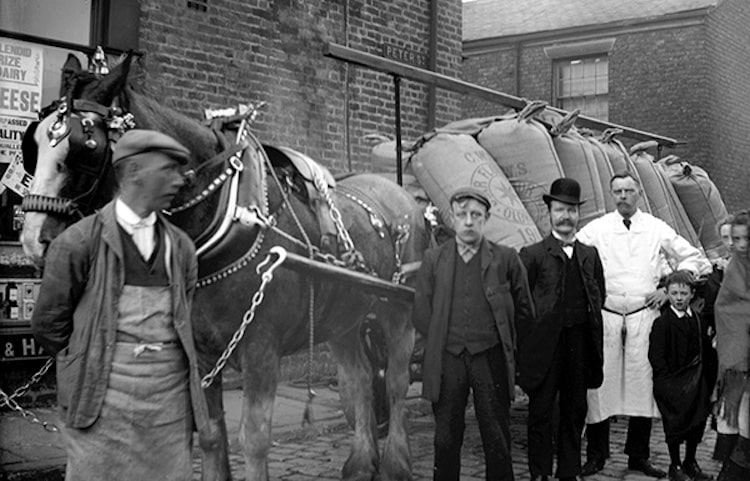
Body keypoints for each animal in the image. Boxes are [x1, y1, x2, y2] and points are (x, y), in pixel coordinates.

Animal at [20, 52, 428, 480]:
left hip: (399, 314)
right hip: (344, 318)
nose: (33, 239)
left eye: (86, 147)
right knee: (359, 381)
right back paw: (361, 463)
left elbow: (254, 437)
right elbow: (212, 433)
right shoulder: (199, 351)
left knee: (396, 383)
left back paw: (396, 462)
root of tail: (402, 196)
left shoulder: (261, 348)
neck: (221, 212)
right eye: (33, 143)